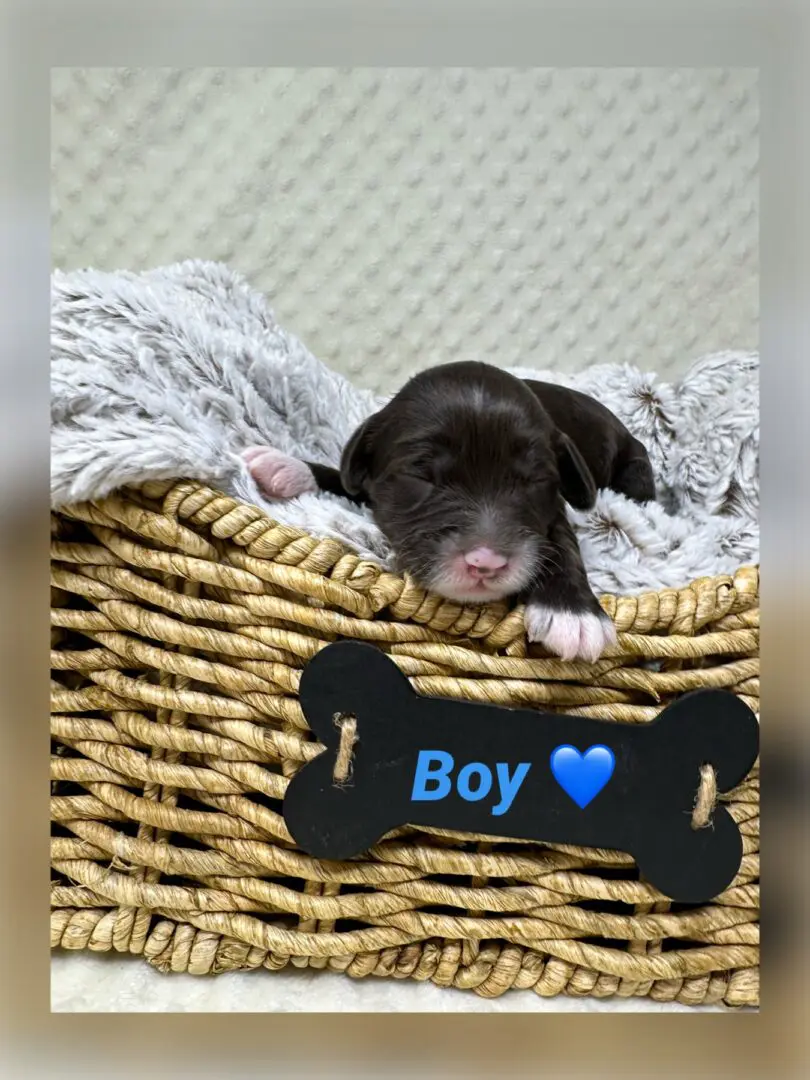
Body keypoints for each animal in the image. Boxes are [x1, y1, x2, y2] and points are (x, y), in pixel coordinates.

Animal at [244, 362, 656, 660]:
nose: (486, 562)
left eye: (533, 480)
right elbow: (344, 481)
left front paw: (575, 613)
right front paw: (290, 468)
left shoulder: (553, 506)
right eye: (422, 475)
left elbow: (560, 542)